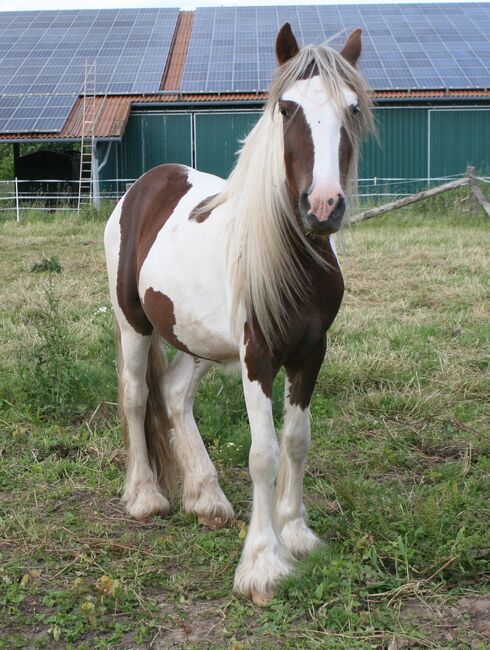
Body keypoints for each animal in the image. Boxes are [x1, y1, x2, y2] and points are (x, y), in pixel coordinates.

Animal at [103, 24, 372, 604]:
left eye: (352, 108)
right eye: (288, 109)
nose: (323, 206)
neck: (291, 258)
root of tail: (146, 184)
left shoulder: (310, 352)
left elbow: (296, 441)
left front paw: (297, 535)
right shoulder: (258, 355)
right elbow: (264, 452)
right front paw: (263, 565)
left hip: (200, 339)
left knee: (174, 394)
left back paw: (206, 499)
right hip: (134, 323)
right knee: (136, 397)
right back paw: (146, 498)